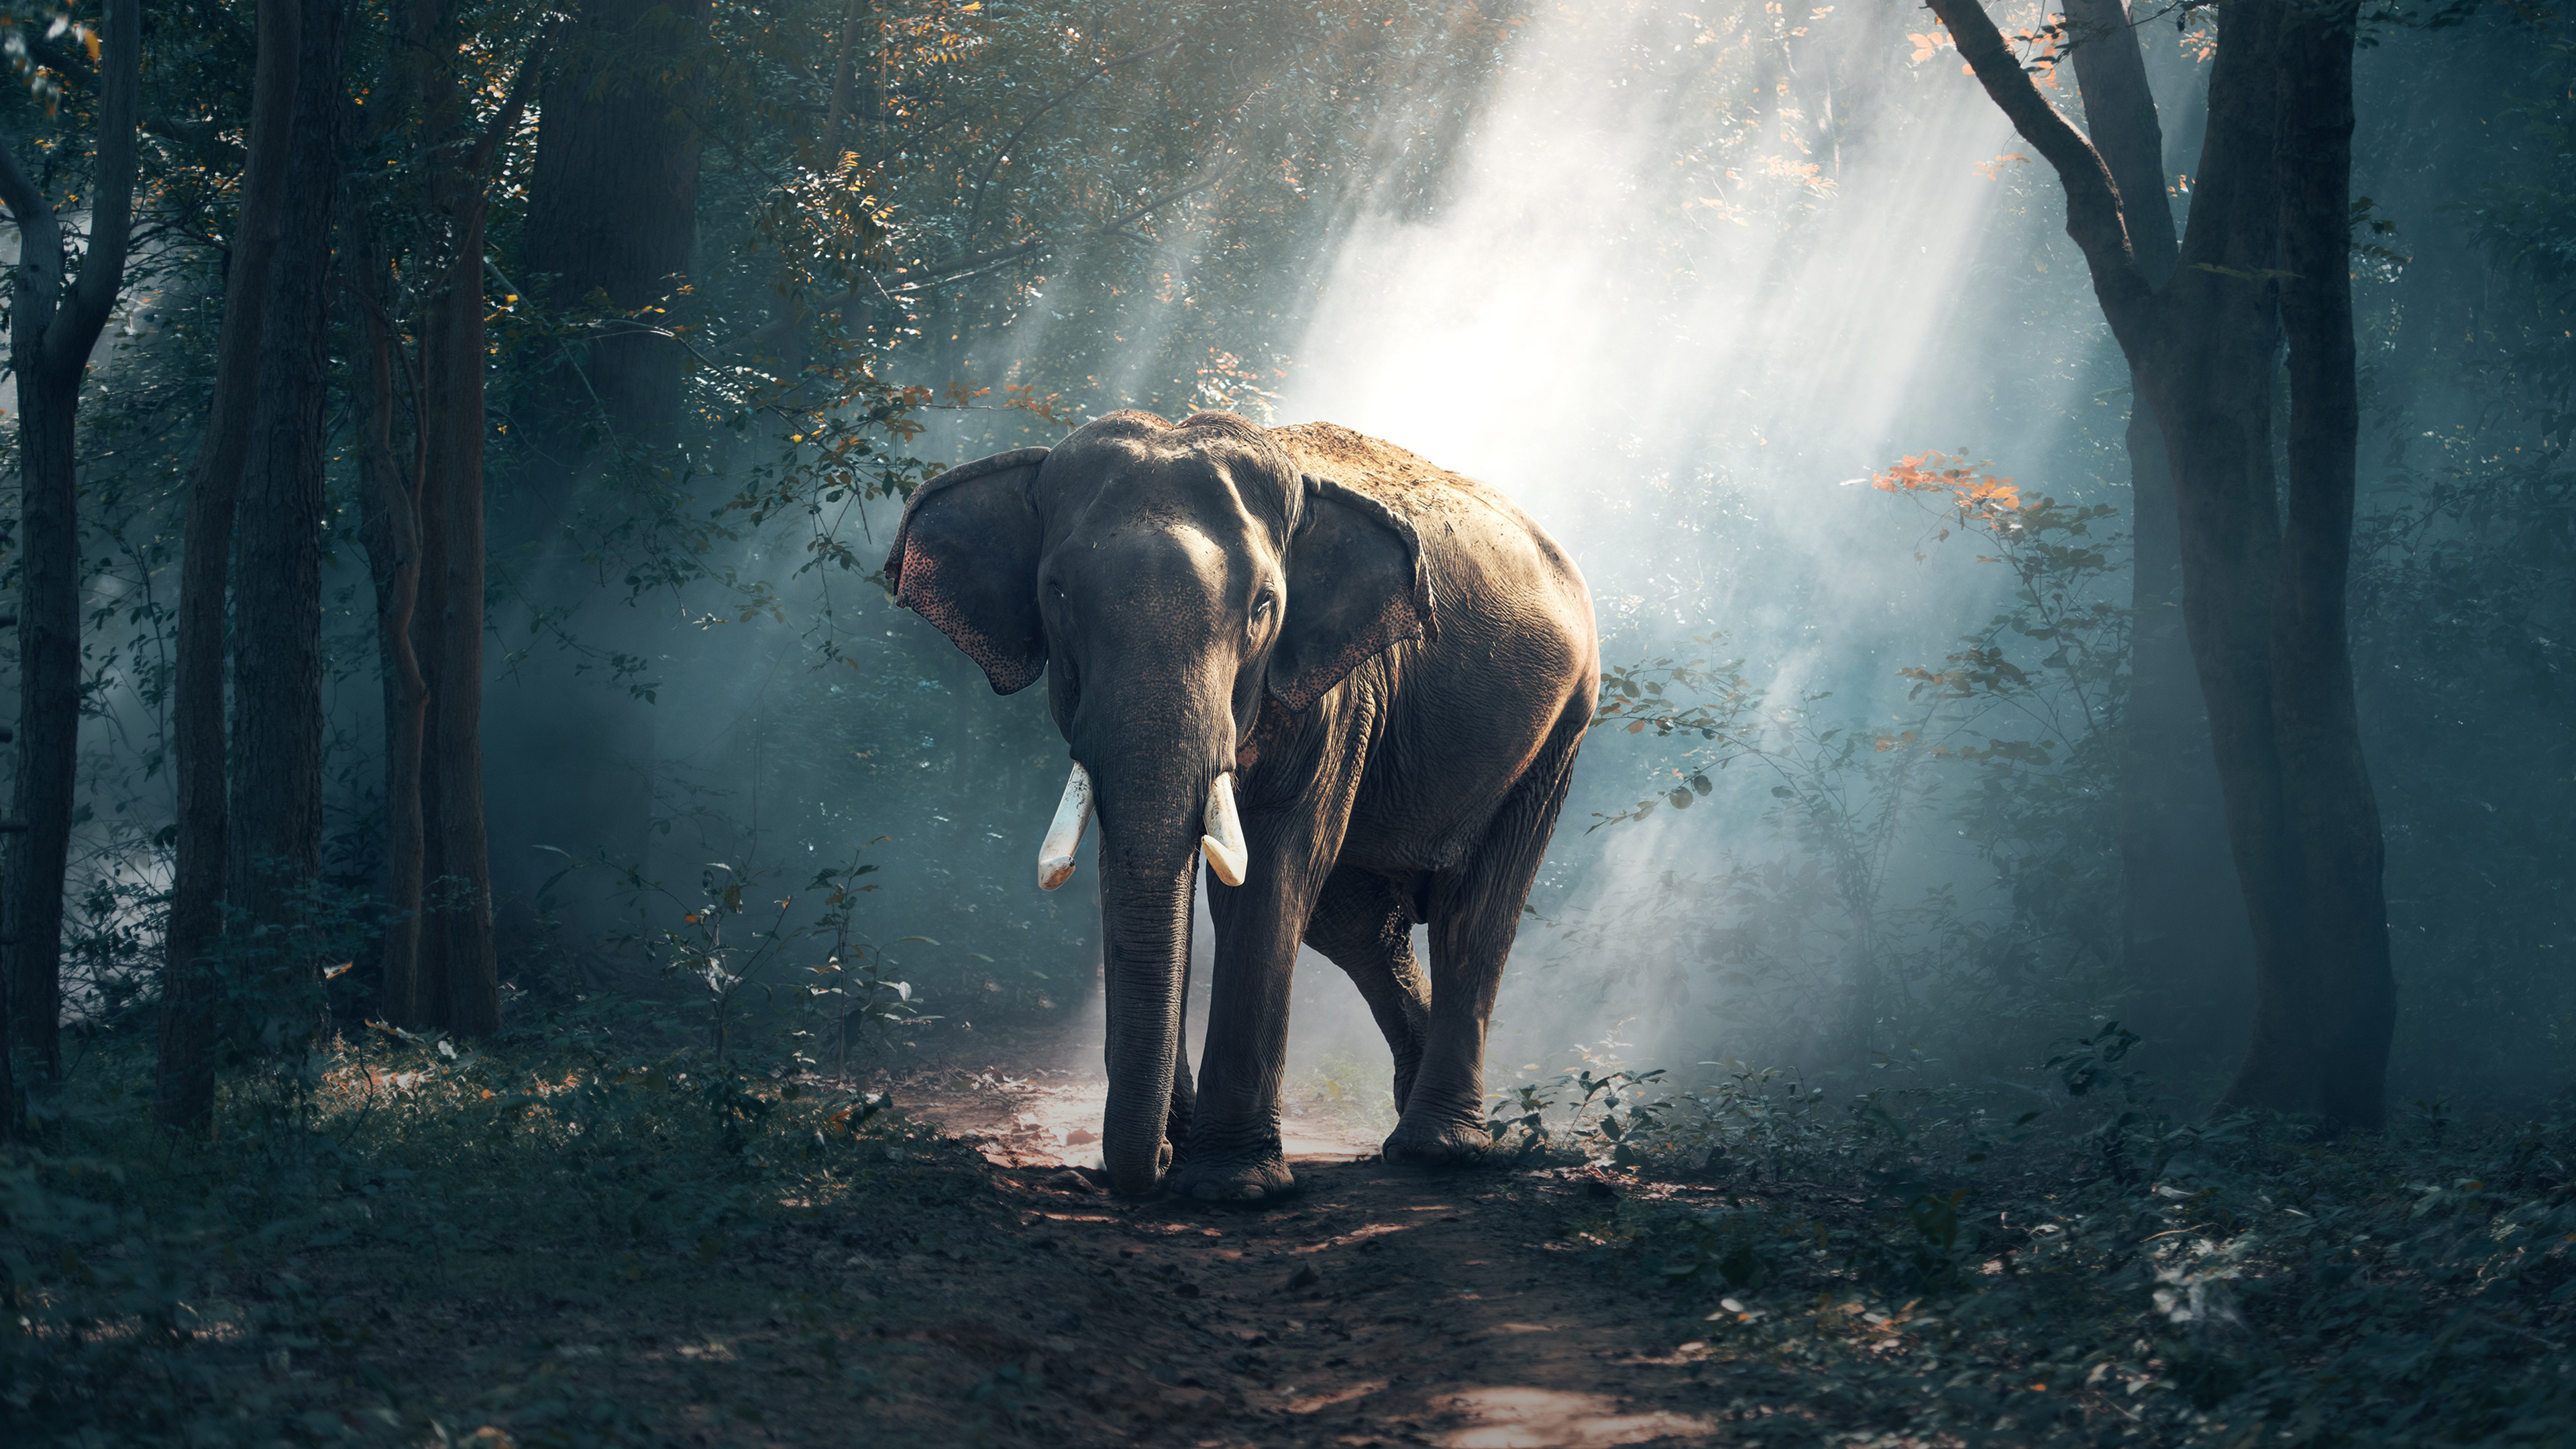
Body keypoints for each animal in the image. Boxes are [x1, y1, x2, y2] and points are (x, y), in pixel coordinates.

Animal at [885, 409, 1597, 1199]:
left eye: (1263, 606)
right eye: (1058, 595)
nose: (1152, 1166)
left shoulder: (1338, 692)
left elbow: (1271, 873)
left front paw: (1233, 1187)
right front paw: (1183, 1151)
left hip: (1559, 732)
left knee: (1474, 915)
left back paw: (1437, 1150)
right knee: (1358, 926)